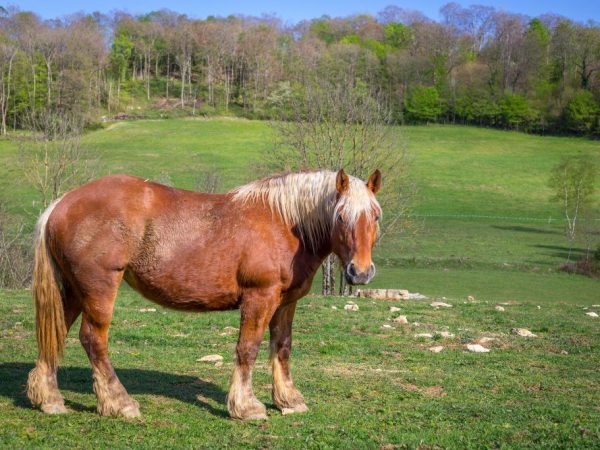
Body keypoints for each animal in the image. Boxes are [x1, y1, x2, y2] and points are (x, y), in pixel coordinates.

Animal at [25, 167, 382, 420]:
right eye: (341, 216)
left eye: (376, 215)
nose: (360, 272)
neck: (284, 223)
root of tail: (61, 203)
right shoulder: (260, 298)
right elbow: (248, 349)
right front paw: (246, 407)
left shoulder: (285, 303)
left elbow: (282, 347)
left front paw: (289, 400)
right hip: (99, 289)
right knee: (93, 340)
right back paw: (119, 402)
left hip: (74, 291)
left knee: (56, 333)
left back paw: (50, 400)